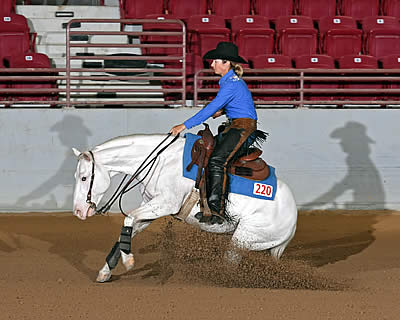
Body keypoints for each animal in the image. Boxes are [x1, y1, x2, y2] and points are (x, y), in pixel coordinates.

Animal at [71, 134, 296, 282]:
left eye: (84, 178)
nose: (78, 212)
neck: (161, 161)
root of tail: (293, 219)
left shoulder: (165, 204)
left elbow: (128, 219)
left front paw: (129, 261)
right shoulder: (151, 208)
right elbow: (127, 229)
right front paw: (105, 272)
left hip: (243, 239)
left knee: (230, 264)